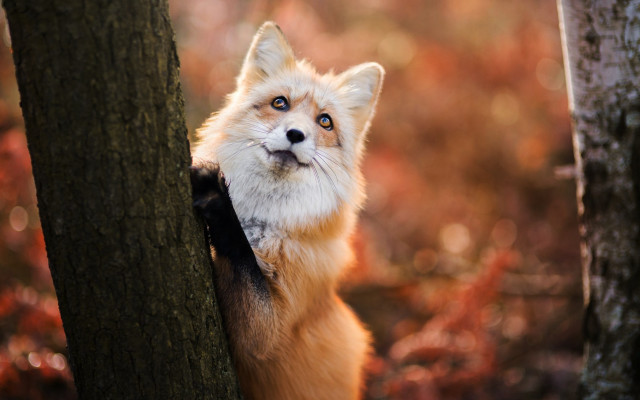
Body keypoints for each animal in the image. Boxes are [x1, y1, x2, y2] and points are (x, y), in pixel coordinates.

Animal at [190, 21, 384, 400]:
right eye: (280, 103)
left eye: (325, 122)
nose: (295, 134)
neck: (261, 223)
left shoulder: (268, 334)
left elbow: (242, 259)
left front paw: (218, 202)